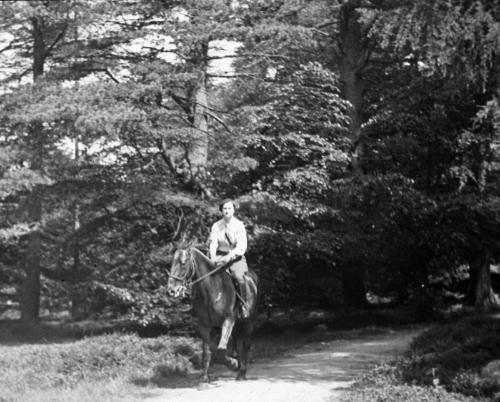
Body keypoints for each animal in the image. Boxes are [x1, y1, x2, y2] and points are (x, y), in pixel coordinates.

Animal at [168, 247, 262, 382]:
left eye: (183, 263)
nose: (171, 290)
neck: (212, 288)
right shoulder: (204, 325)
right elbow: (208, 351)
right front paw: (204, 376)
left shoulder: (228, 321)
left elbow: (220, 350)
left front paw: (233, 364)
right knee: (238, 344)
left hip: (249, 322)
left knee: (246, 345)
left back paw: (242, 372)